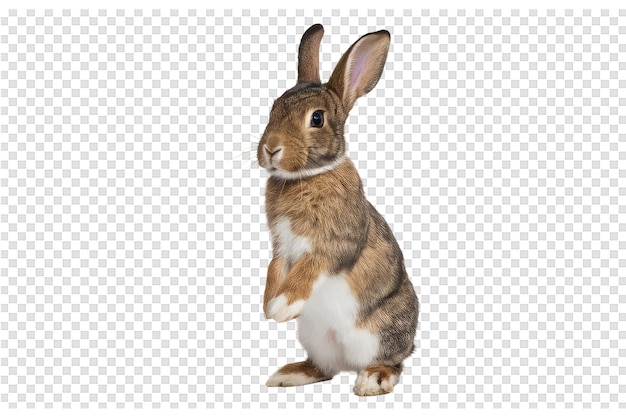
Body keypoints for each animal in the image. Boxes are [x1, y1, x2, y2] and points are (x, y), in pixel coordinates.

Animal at [256, 24, 416, 394]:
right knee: (324, 368)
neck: (305, 176)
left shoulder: (333, 244)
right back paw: (288, 374)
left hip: (382, 333)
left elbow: (310, 269)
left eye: (317, 118)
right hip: (315, 339)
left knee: (394, 361)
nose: (271, 148)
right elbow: (274, 269)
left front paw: (282, 306)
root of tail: (349, 362)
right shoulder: (281, 246)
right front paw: (269, 306)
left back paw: (372, 379)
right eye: (273, 108)